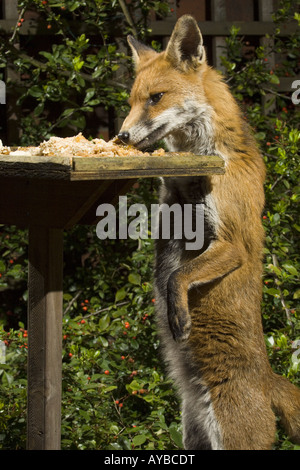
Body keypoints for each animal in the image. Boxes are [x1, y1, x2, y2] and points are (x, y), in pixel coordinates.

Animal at [118, 13, 300, 448]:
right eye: (132, 101)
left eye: (155, 98)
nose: (121, 136)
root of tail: (269, 380)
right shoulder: (171, 199)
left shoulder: (233, 243)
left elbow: (177, 277)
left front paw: (178, 317)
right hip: (192, 438)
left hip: (233, 438)